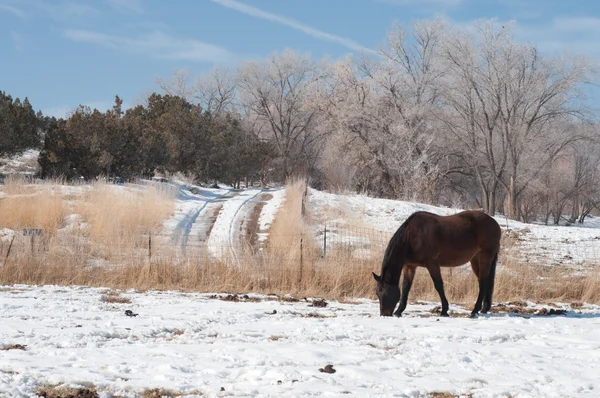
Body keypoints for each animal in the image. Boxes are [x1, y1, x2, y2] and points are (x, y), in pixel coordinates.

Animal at [372, 210, 500, 318]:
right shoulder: (410, 266)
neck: (412, 236)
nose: (384, 314)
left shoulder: (432, 263)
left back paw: (474, 311)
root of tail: (495, 224)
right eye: (378, 294)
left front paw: (444, 311)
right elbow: (405, 287)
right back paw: (483, 308)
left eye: (386, 293)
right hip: (475, 260)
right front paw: (399, 311)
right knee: (483, 282)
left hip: (485, 257)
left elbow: (438, 285)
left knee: (483, 282)